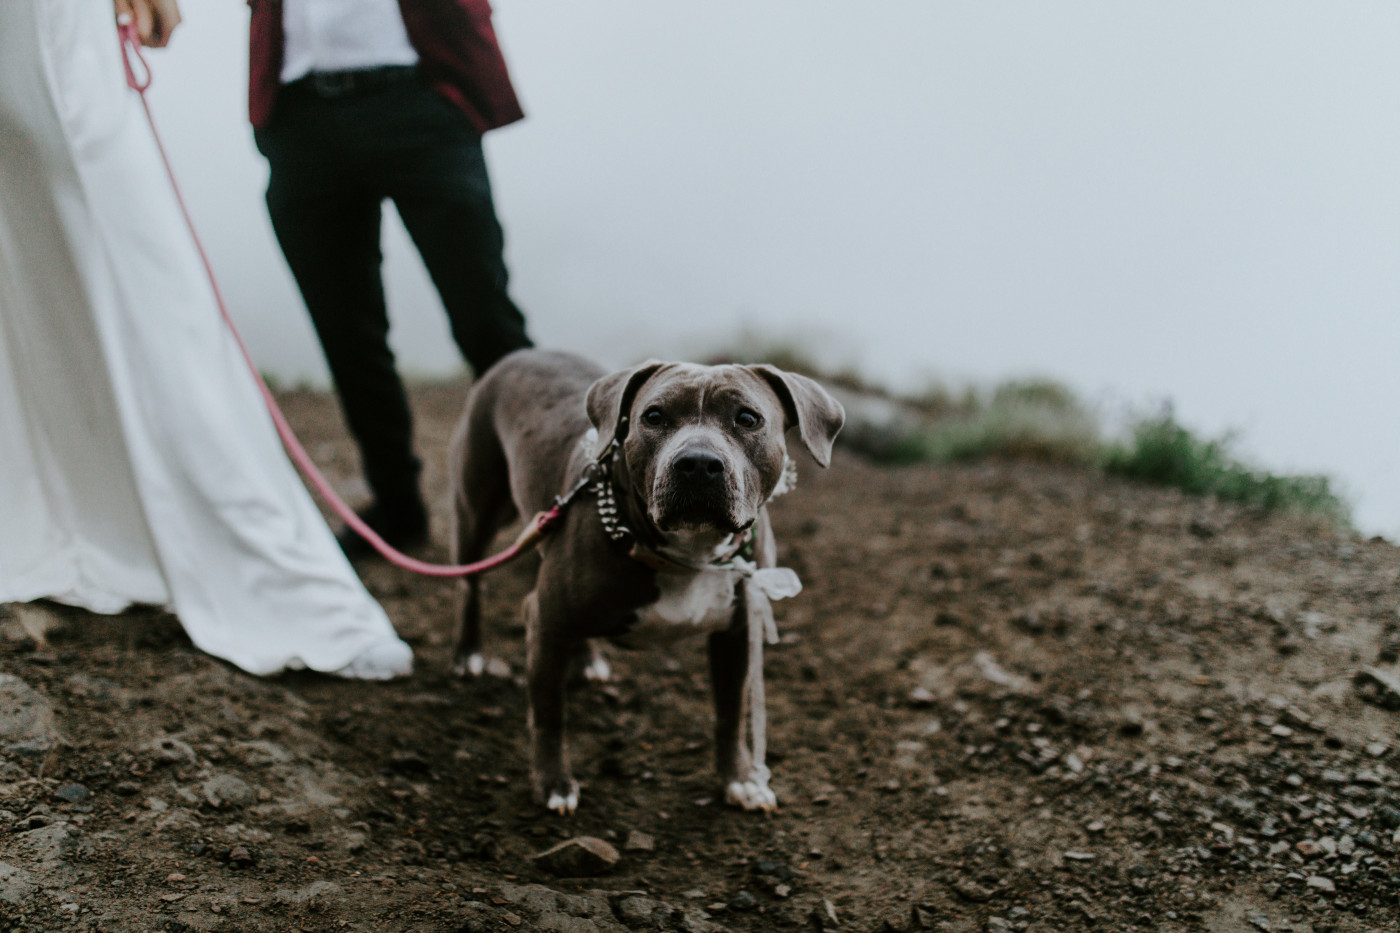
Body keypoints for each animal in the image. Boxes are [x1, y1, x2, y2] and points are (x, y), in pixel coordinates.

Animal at [448, 344, 840, 812]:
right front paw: (554, 782)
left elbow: (730, 712)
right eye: (653, 416)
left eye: (747, 419)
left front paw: (741, 778)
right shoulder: (545, 623)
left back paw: (586, 659)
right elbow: (549, 714)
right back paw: (469, 653)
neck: (689, 553)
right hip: (477, 511)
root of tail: (524, 352)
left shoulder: (736, 633)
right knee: (470, 583)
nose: (698, 463)